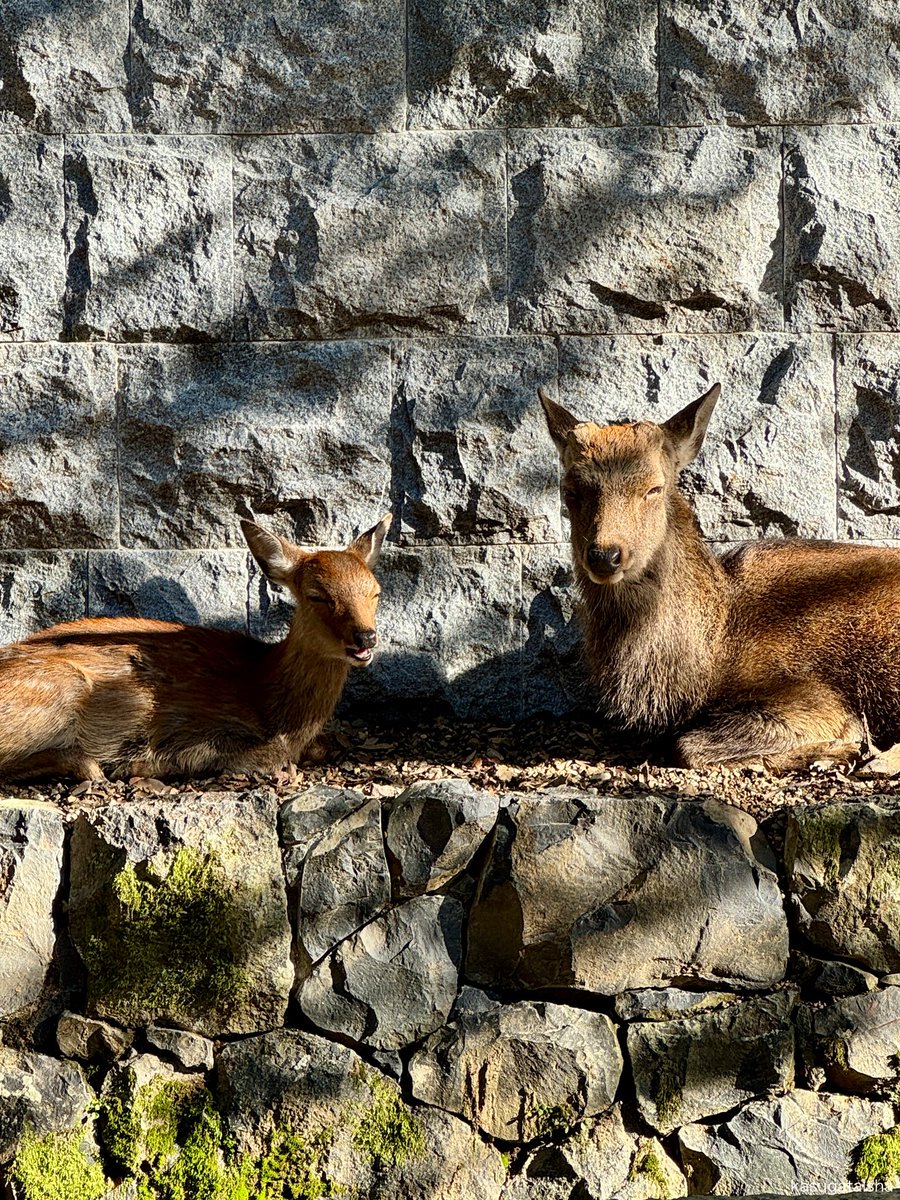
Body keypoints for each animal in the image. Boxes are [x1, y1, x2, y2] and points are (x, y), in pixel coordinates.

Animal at [0, 513, 391, 781]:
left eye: (375, 592)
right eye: (316, 595)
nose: (365, 637)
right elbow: (265, 753)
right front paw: (148, 761)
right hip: (60, 685)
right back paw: (90, 764)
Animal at [539, 383, 900, 771]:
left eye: (654, 488)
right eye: (570, 491)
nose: (605, 555)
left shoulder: (815, 696)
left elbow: (687, 746)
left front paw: (842, 747)